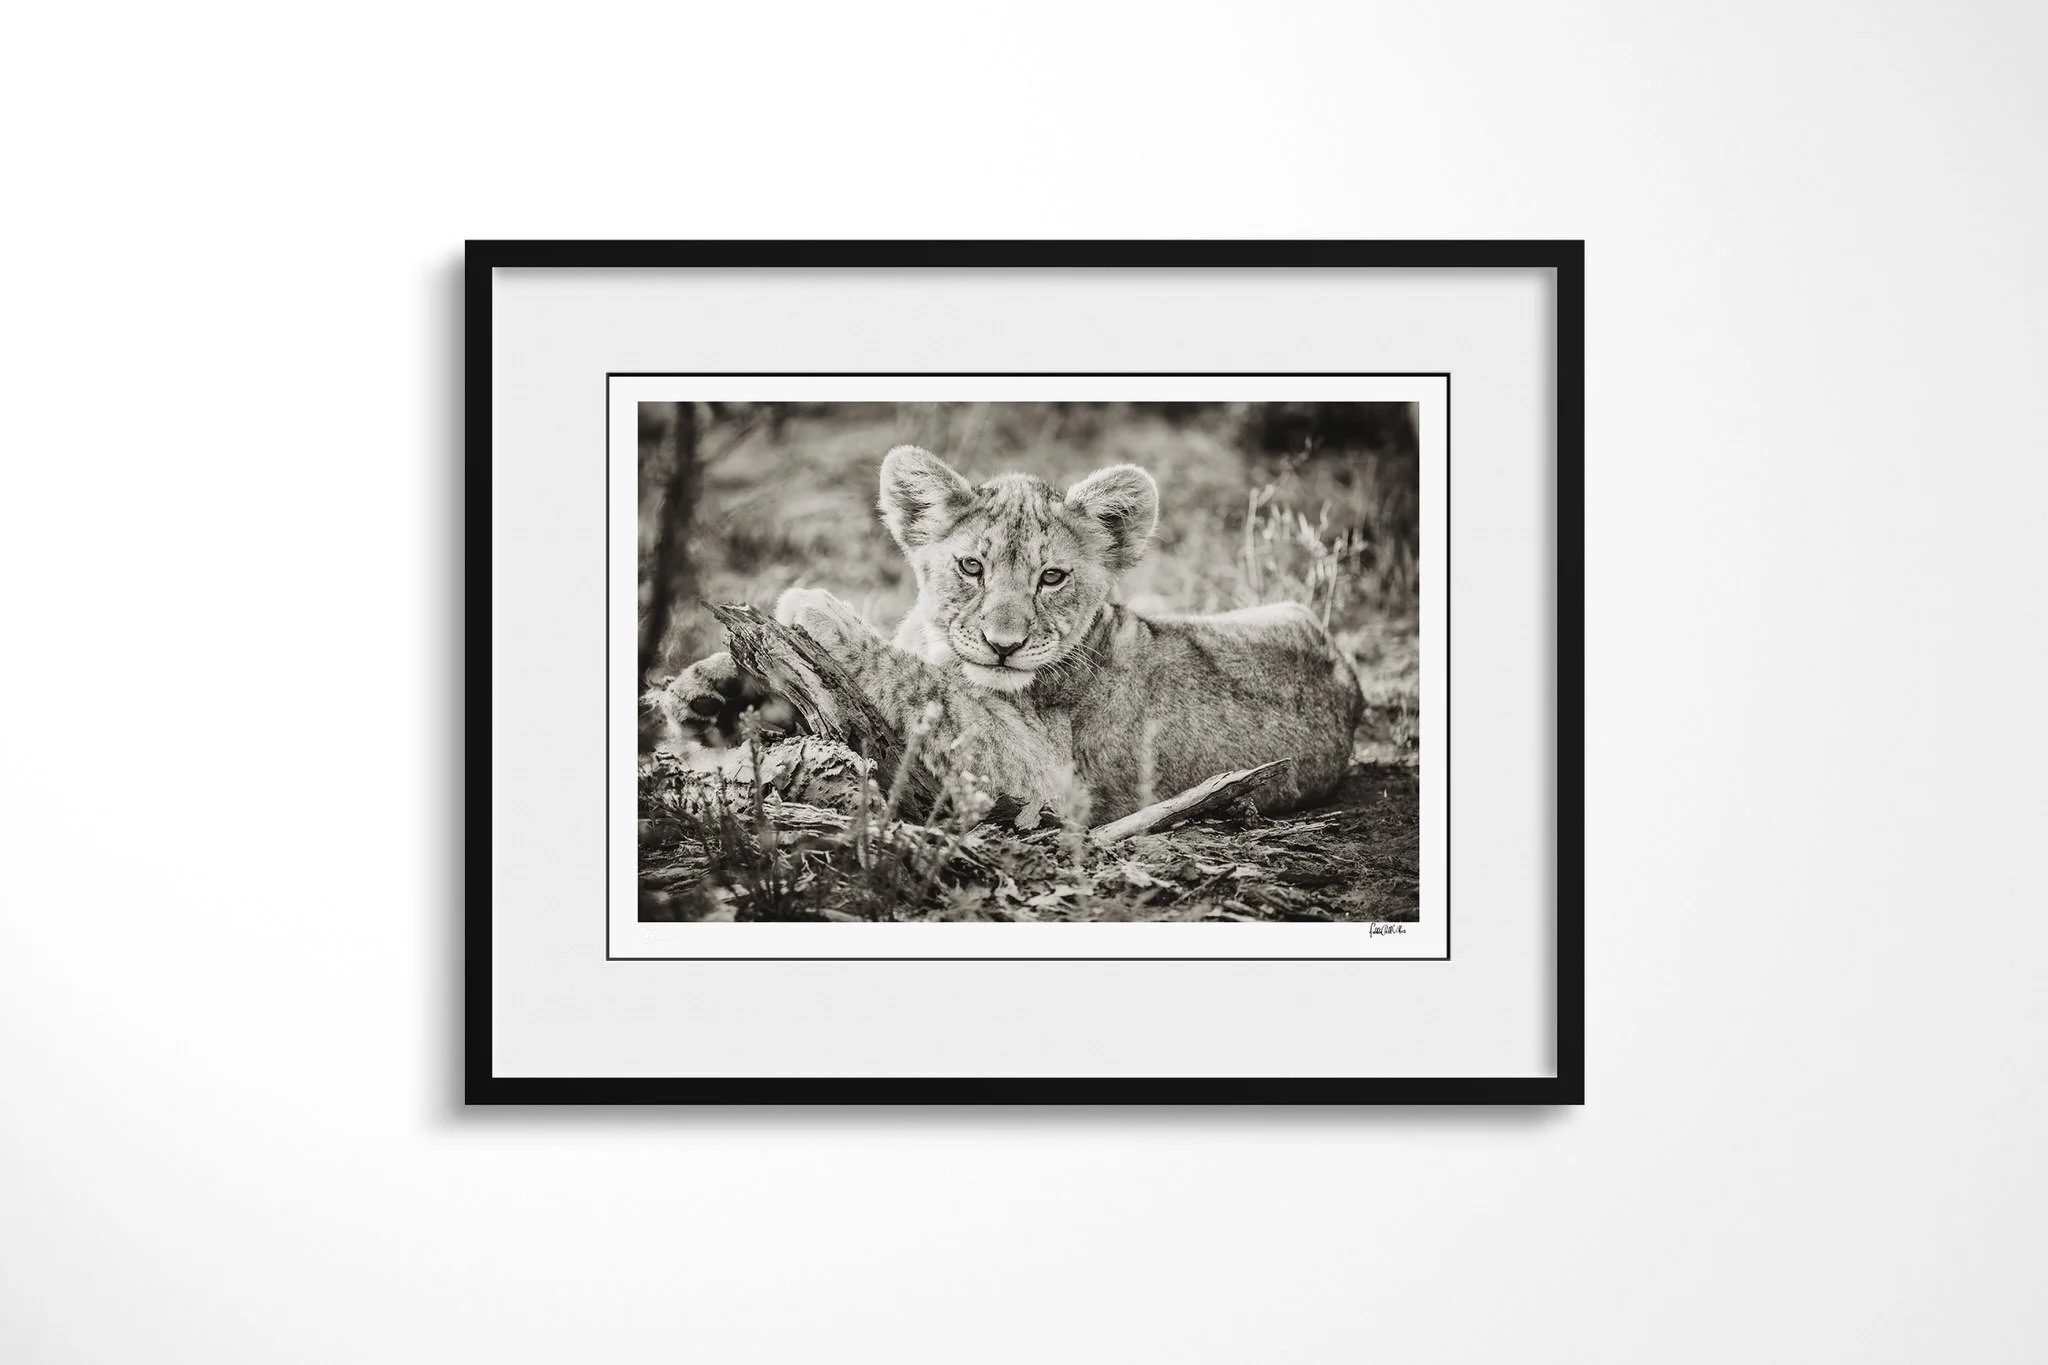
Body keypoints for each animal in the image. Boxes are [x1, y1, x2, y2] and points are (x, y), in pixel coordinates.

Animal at [663, 445, 1364, 822]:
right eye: (972, 566)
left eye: (1051, 577)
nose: (1005, 645)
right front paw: (702, 692)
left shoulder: (1041, 777)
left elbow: (926, 681)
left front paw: (818, 608)